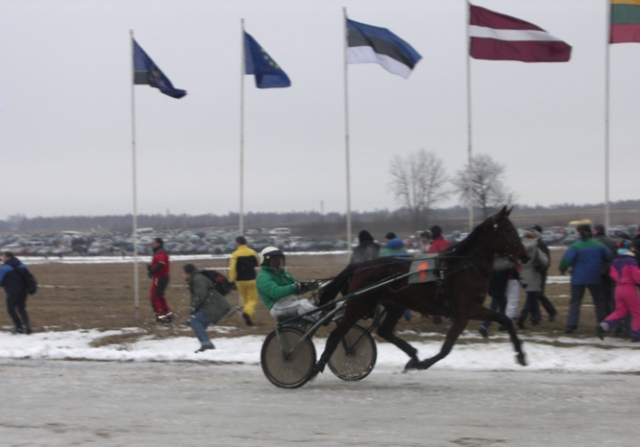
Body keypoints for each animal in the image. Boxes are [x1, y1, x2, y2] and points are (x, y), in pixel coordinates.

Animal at [316, 208, 528, 376]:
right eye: (508, 230)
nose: (524, 255)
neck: (465, 265)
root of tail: (361, 265)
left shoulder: (466, 312)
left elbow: (505, 320)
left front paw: (521, 355)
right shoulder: (466, 311)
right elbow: (447, 348)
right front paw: (424, 364)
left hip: (395, 305)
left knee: (384, 331)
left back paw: (413, 355)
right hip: (359, 304)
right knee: (337, 334)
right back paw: (317, 367)